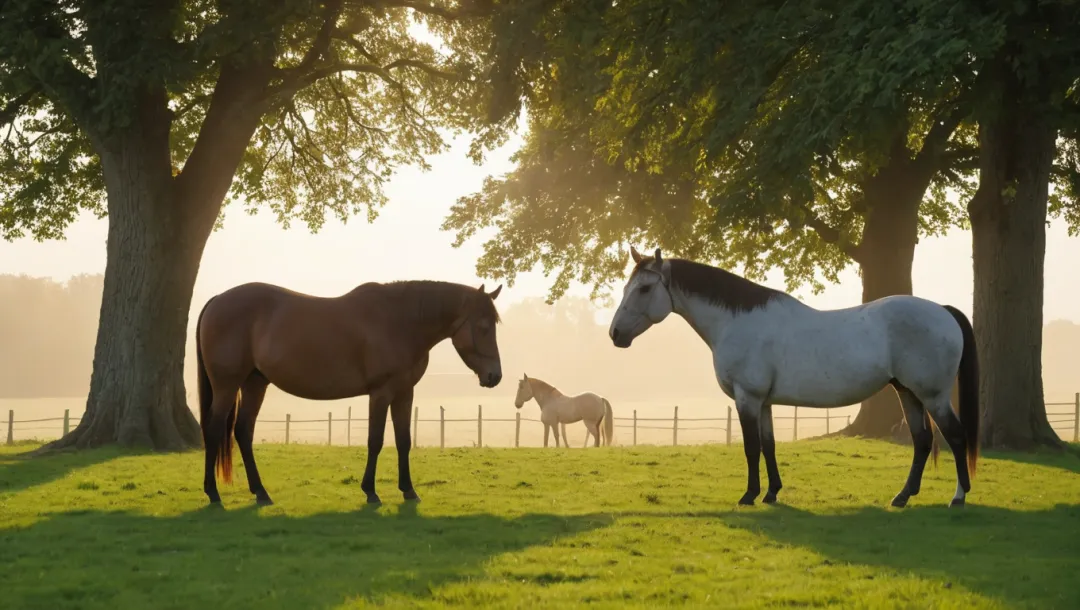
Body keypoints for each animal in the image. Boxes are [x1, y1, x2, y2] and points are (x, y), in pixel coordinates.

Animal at [195, 278, 505, 505]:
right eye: (483, 327)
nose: (495, 376)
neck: (399, 322)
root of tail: (217, 300)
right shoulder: (381, 393)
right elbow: (375, 441)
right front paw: (371, 492)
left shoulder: (404, 394)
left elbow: (404, 441)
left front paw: (408, 490)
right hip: (226, 386)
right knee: (214, 429)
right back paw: (213, 493)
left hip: (254, 383)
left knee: (243, 431)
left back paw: (260, 492)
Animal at [609, 245, 980, 507]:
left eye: (644, 289)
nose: (615, 334)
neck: (738, 322)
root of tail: (943, 310)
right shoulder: (764, 402)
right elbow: (769, 445)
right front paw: (772, 492)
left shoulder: (747, 398)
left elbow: (751, 447)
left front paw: (749, 495)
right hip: (908, 392)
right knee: (922, 441)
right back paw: (902, 497)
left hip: (933, 396)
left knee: (955, 436)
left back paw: (958, 497)